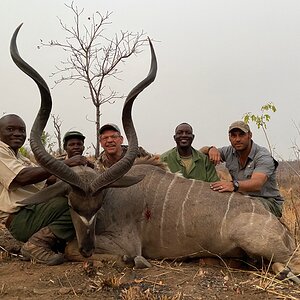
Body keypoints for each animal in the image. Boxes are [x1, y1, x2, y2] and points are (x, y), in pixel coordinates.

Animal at [9, 24, 300, 282]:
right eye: (71, 204)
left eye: (98, 205)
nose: (87, 249)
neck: (115, 195)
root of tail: (283, 231)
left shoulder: (127, 243)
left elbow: (81, 250)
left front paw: (135, 261)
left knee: (283, 266)